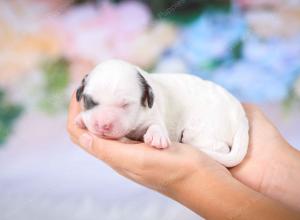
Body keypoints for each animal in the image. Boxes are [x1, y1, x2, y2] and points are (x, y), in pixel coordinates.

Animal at [75, 59, 248, 168]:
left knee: (220, 147)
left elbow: (156, 126)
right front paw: (81, 119)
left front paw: (157, 137)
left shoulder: (153, 115)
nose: (103, 125)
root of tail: (242, 117)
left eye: (125, 105)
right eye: (90, 101)